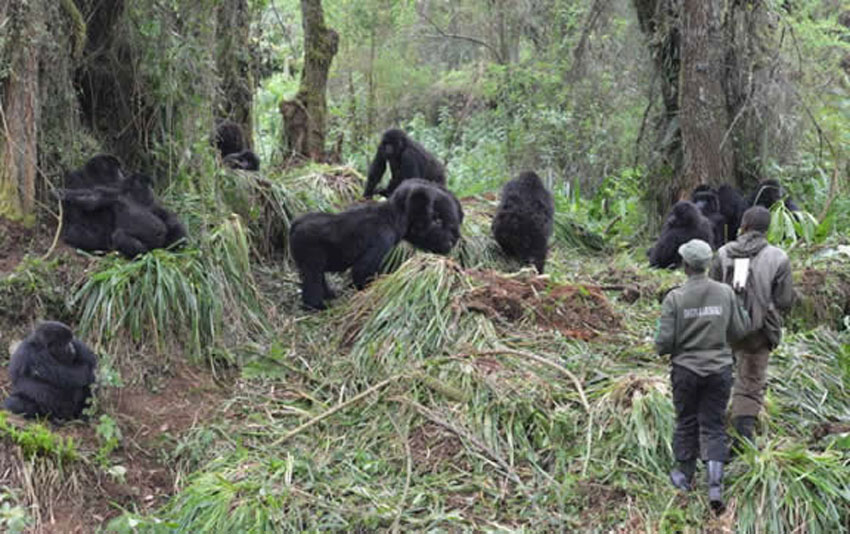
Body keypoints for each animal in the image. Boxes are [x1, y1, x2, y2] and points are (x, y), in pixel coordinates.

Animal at [292, 180, 464, 310]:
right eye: (434, 219)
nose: (452, 240)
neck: (394, 216)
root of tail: (294, 225)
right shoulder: (381, 240)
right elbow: (362, 273)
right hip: (311, 257)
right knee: (313, 276)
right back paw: (315, 305)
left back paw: (328, 295)